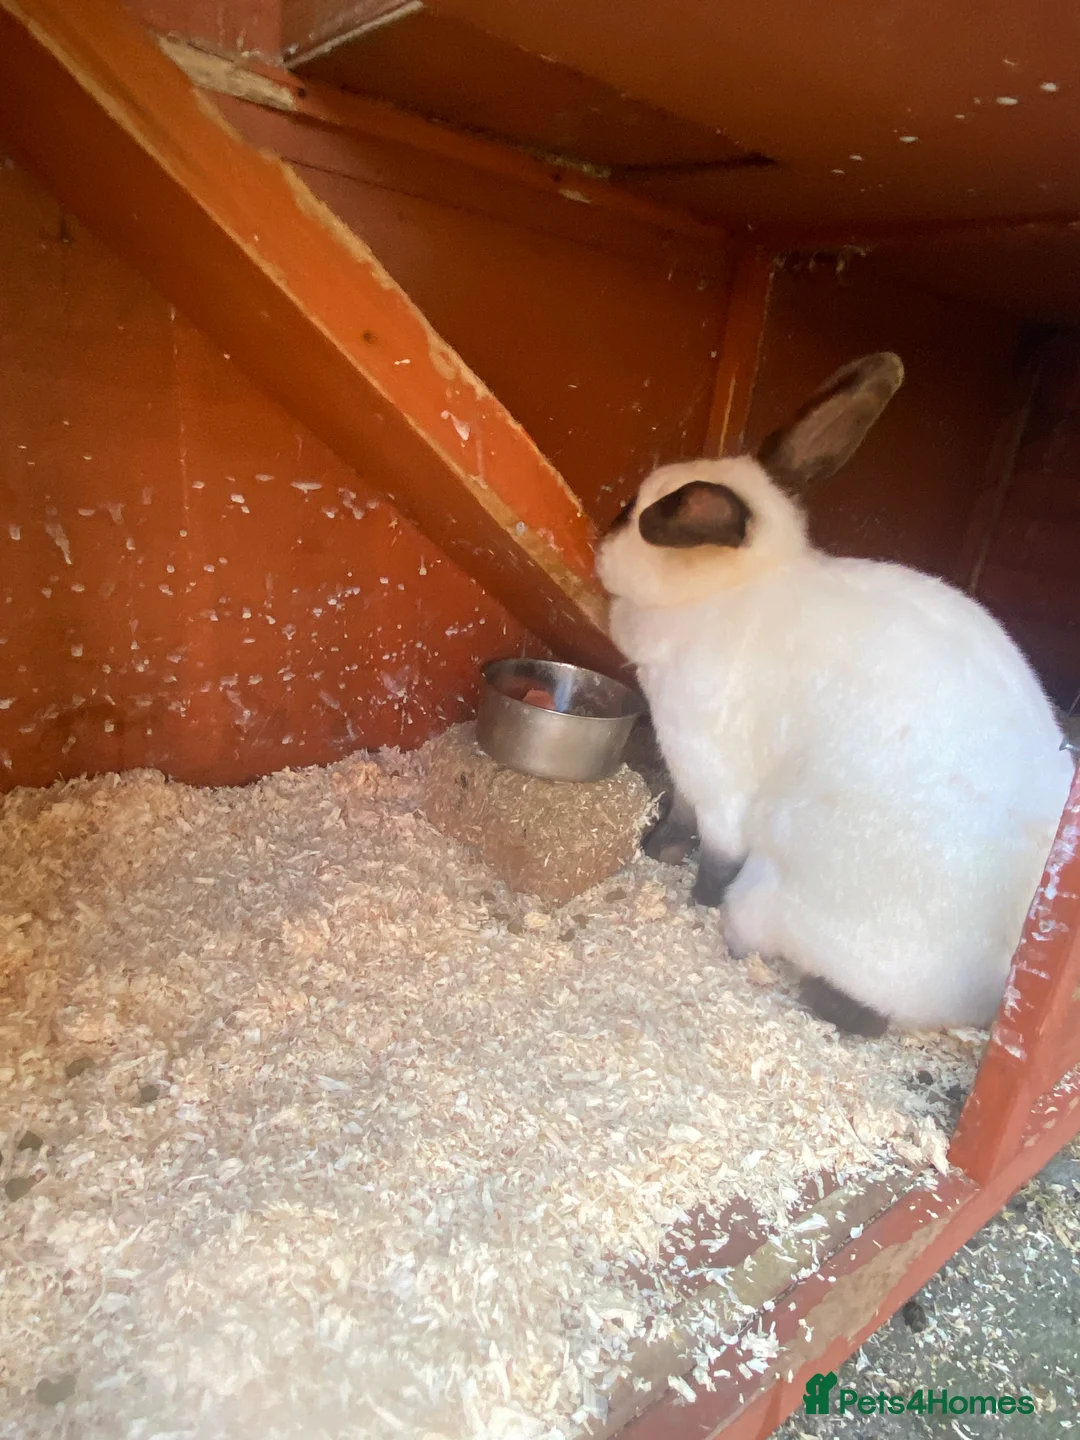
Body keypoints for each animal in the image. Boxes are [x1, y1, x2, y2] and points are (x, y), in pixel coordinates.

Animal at [596, 353, 1075, 1036]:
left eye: (633, 512)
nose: (601, 539)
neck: (730, 591)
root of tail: (982, 999)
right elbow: (680, 818)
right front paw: (659, 847)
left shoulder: (711, 769)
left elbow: (714, 846)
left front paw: (693, 892)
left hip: (766, 898)